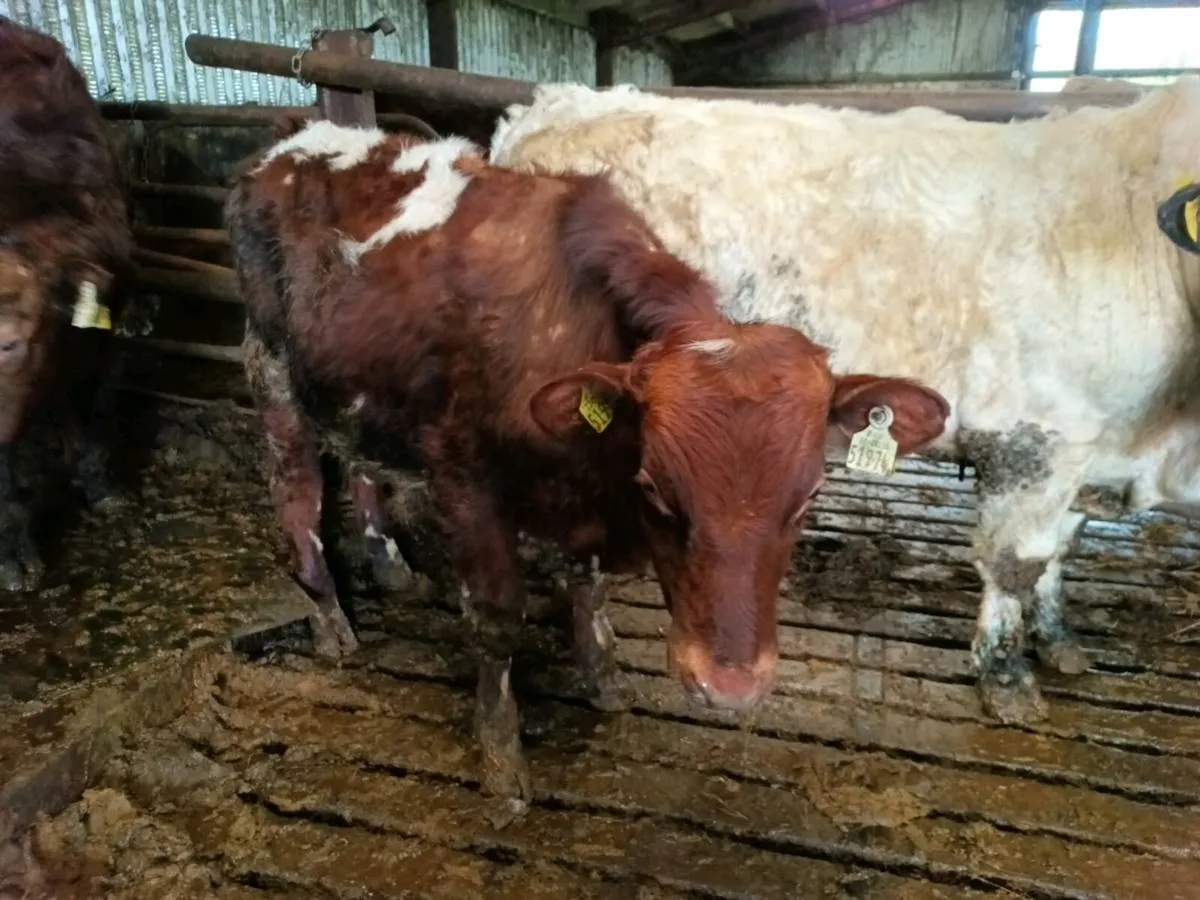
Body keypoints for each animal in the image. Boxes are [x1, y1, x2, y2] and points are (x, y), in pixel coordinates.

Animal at [225, 117, 949, 821]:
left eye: (808, 498)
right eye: (658, 490)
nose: (729, 685)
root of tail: (288, 146)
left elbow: (589, 588)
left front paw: (600, 673)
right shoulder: (466, 481)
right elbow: (497, 620)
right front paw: (501, 753)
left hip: (356, 384)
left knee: (361, 465)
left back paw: (389, 563)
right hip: (272, 371)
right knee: (298, 491)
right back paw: (328, 617)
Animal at [488, 77, 1200, 726]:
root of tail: (558, 100)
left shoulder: (1088, 453)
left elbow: (1060, 547)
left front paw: (1057, 638)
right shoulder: (1033, 438)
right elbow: (1016, 562)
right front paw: (1005, 674)